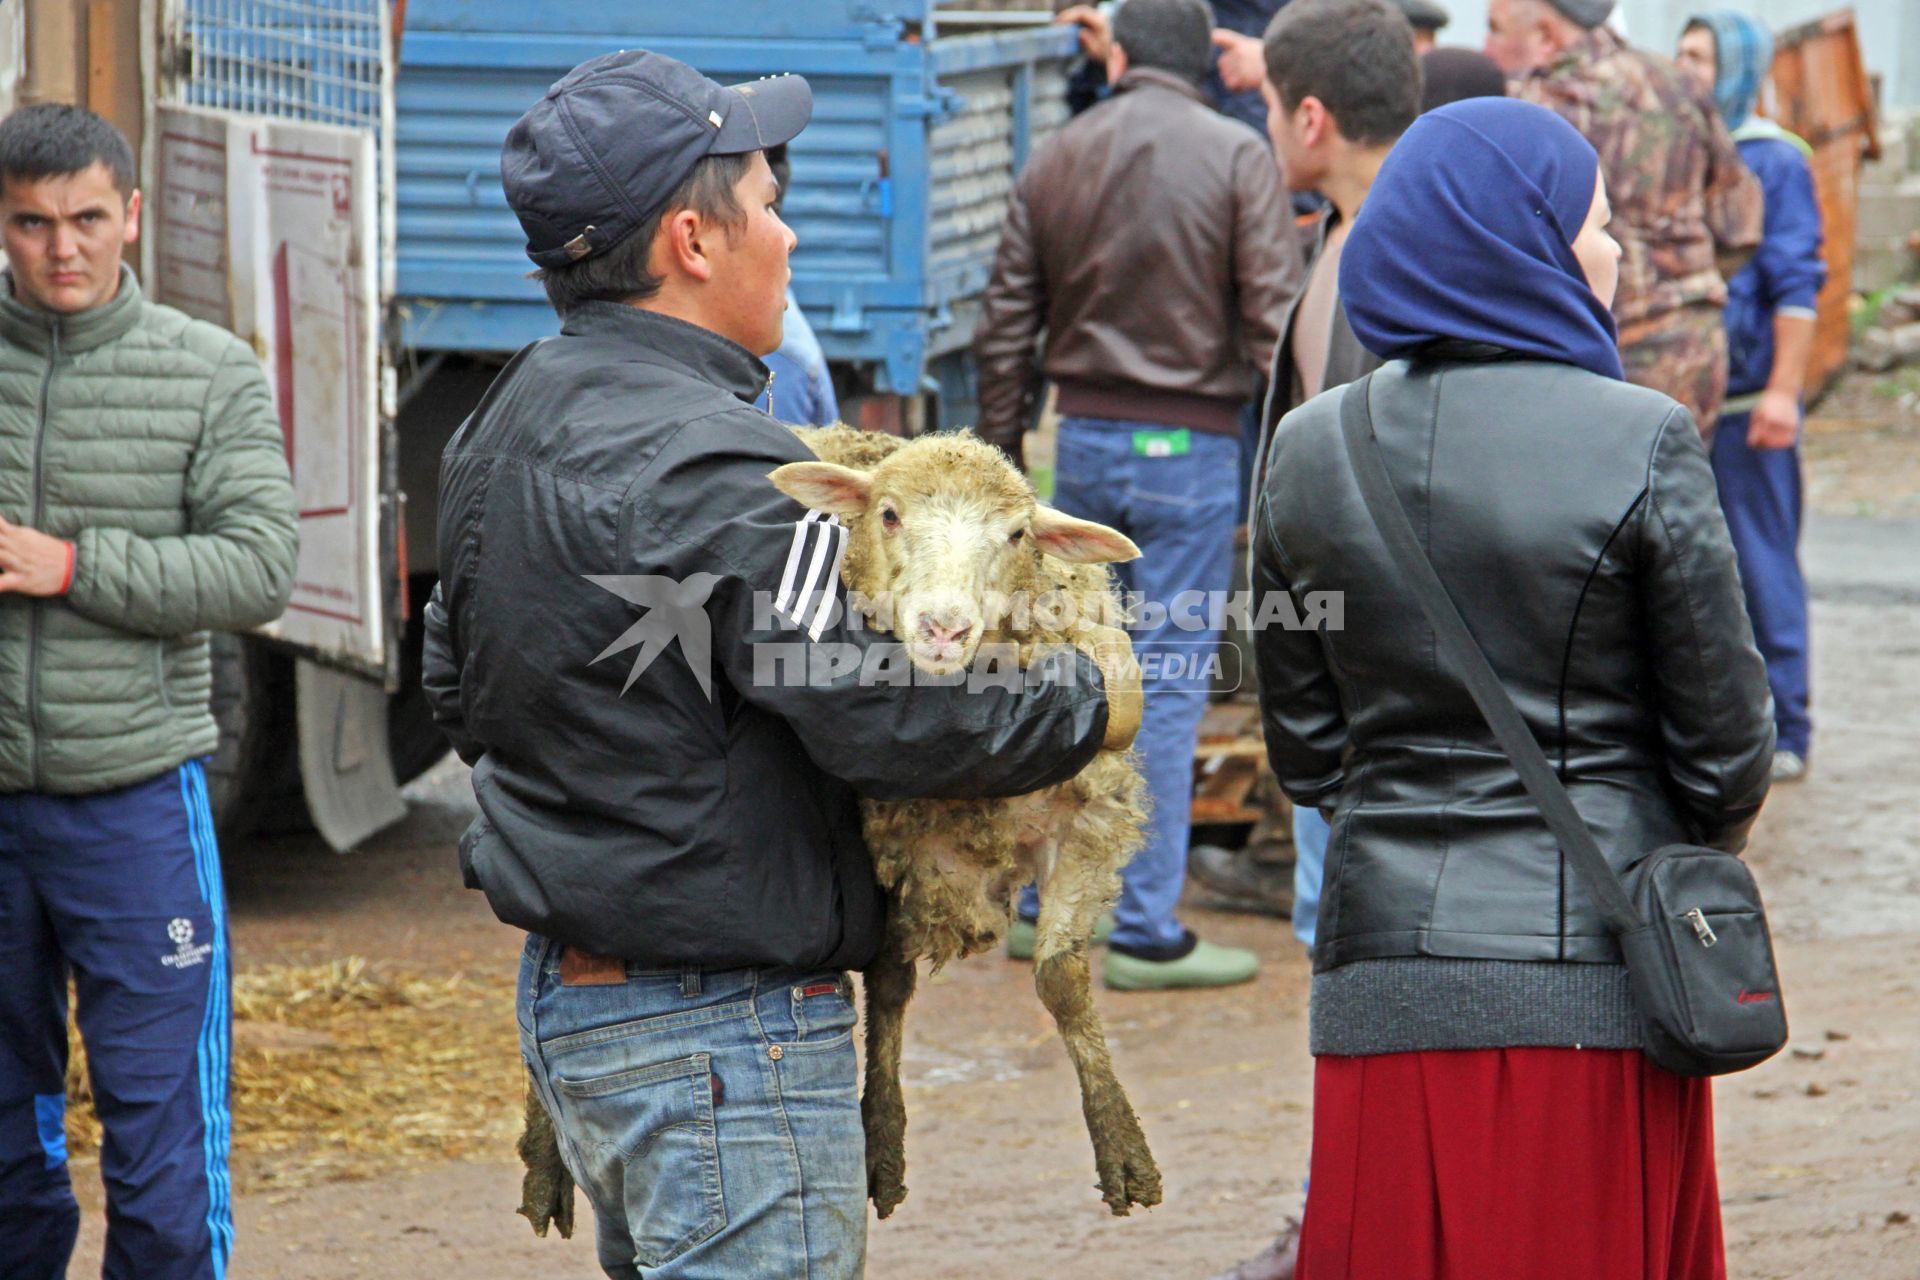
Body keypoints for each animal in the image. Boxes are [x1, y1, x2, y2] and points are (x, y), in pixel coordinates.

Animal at [771, 426, 1159, 1220]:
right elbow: (888, 981)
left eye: (1015, 535)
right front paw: (881, 1142)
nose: (944, 629)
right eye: (888, 514)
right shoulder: (892, 849)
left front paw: (1121, 1146)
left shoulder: (1083, 822)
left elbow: (1062, 979)